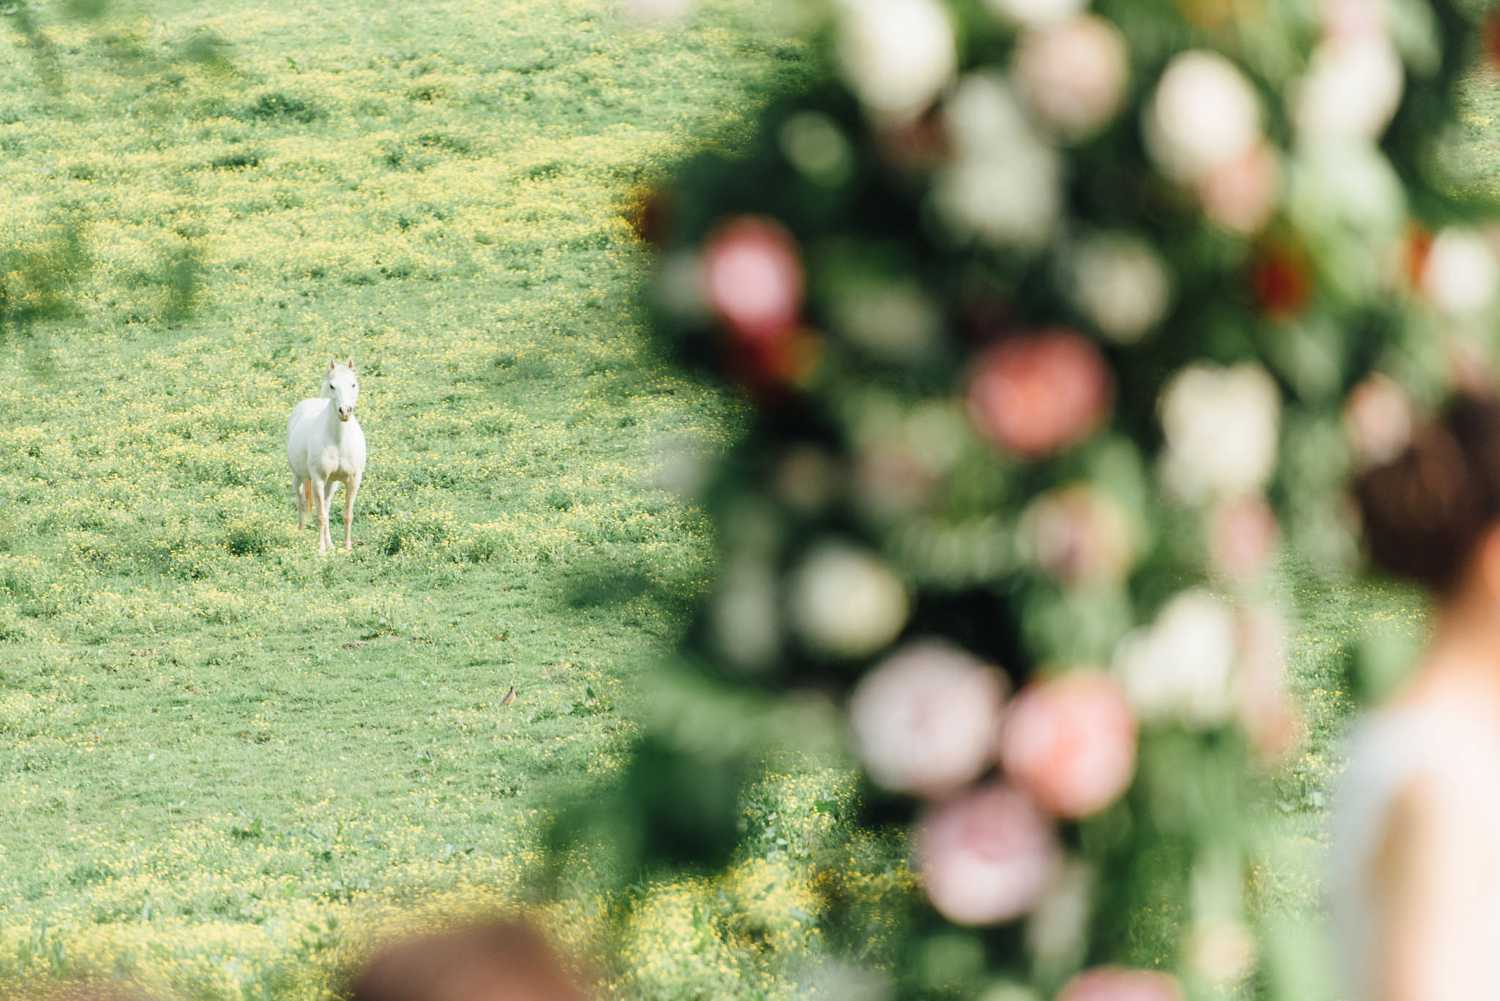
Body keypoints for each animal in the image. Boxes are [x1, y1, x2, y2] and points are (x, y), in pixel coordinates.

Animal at [288, 359, 367, 554]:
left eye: (353, 384)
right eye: (332, 386)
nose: (344, 411)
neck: (338, 441)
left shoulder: (354, 480)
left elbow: (347, 515)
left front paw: (347, 548)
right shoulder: (318, 480)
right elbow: (321, 516)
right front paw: (321, 551)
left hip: (332, 484)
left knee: (327, 505)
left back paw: (331, 544)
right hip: (300, 477)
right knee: (301, 500)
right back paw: (301, 532)